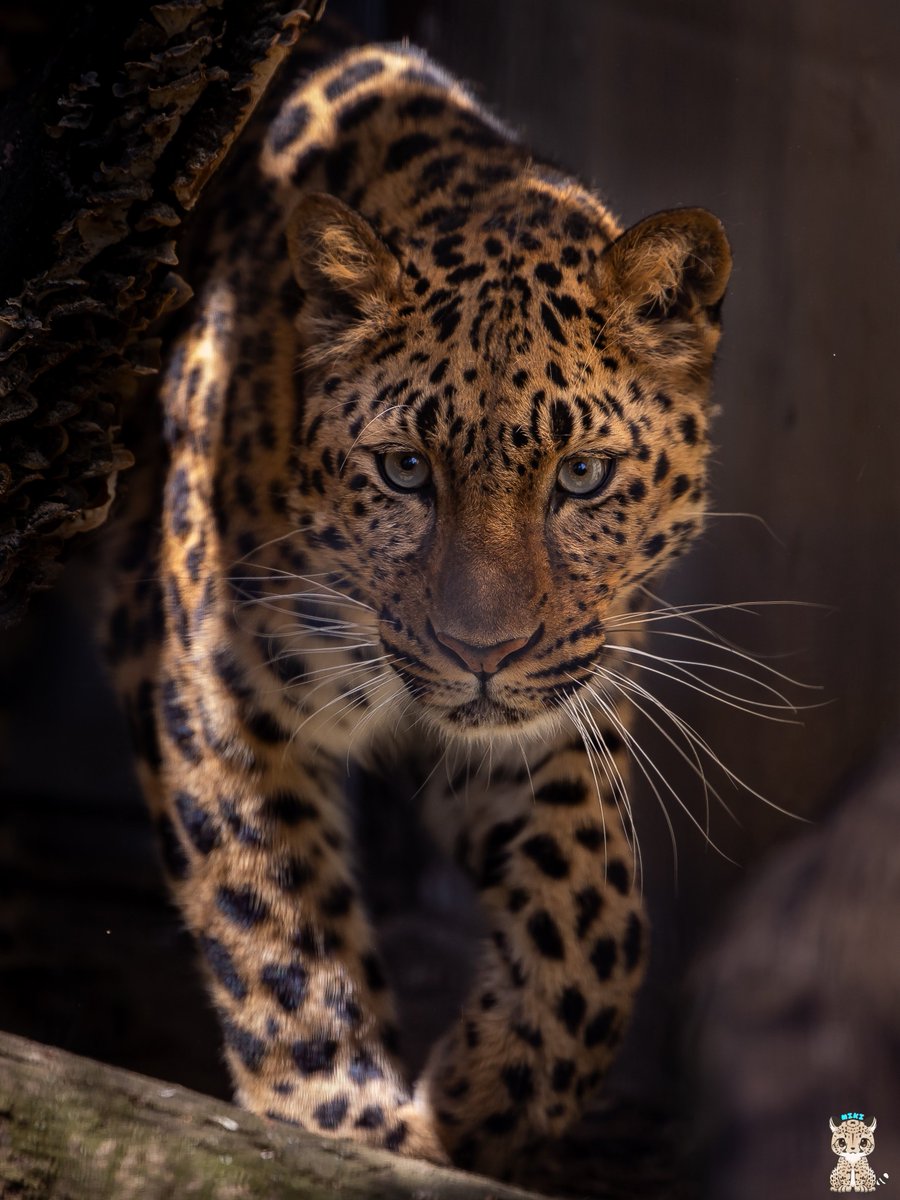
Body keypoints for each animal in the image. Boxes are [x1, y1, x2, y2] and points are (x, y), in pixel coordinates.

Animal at [102, 37, 734, 1180]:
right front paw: (337, 1111)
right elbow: (268, 901)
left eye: (581, 476)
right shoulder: (205, 670)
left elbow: (595, 905)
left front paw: (495, 1092)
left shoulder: (556, 700)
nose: (479, 652)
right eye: (405, 471)